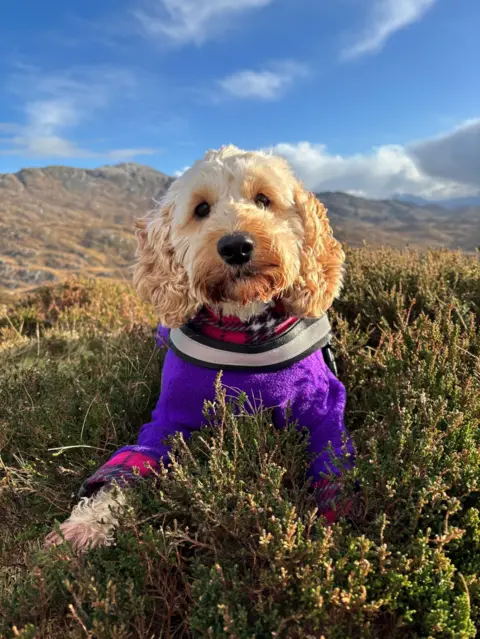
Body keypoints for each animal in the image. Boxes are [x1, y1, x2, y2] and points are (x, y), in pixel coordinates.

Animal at [44, 146, 352, 556]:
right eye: (201, 209)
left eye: (263, 199)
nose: (236, 246)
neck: (243, 327)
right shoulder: (167, 421)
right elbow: (128, 468)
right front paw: (86, 525)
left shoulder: (325, 408)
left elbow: (332, 469)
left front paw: (328, 537)